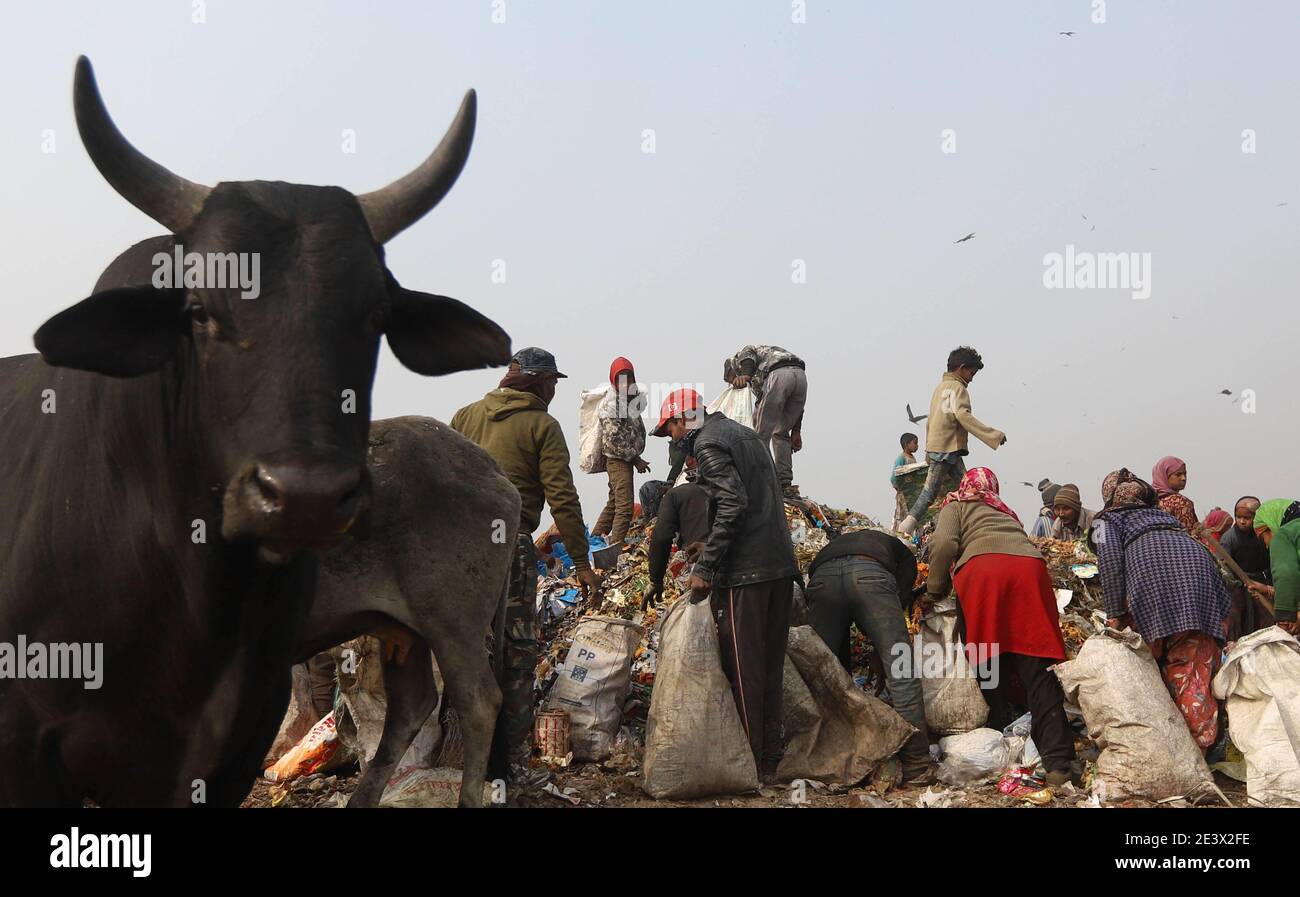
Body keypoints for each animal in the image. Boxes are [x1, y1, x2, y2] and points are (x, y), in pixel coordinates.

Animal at [0, 57, 512, 806]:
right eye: (197, 308)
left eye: (377, 313)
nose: (304, 496)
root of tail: (492, 472)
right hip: (403, 631)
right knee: (414, 706)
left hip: (455, 617)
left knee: (477, 701)